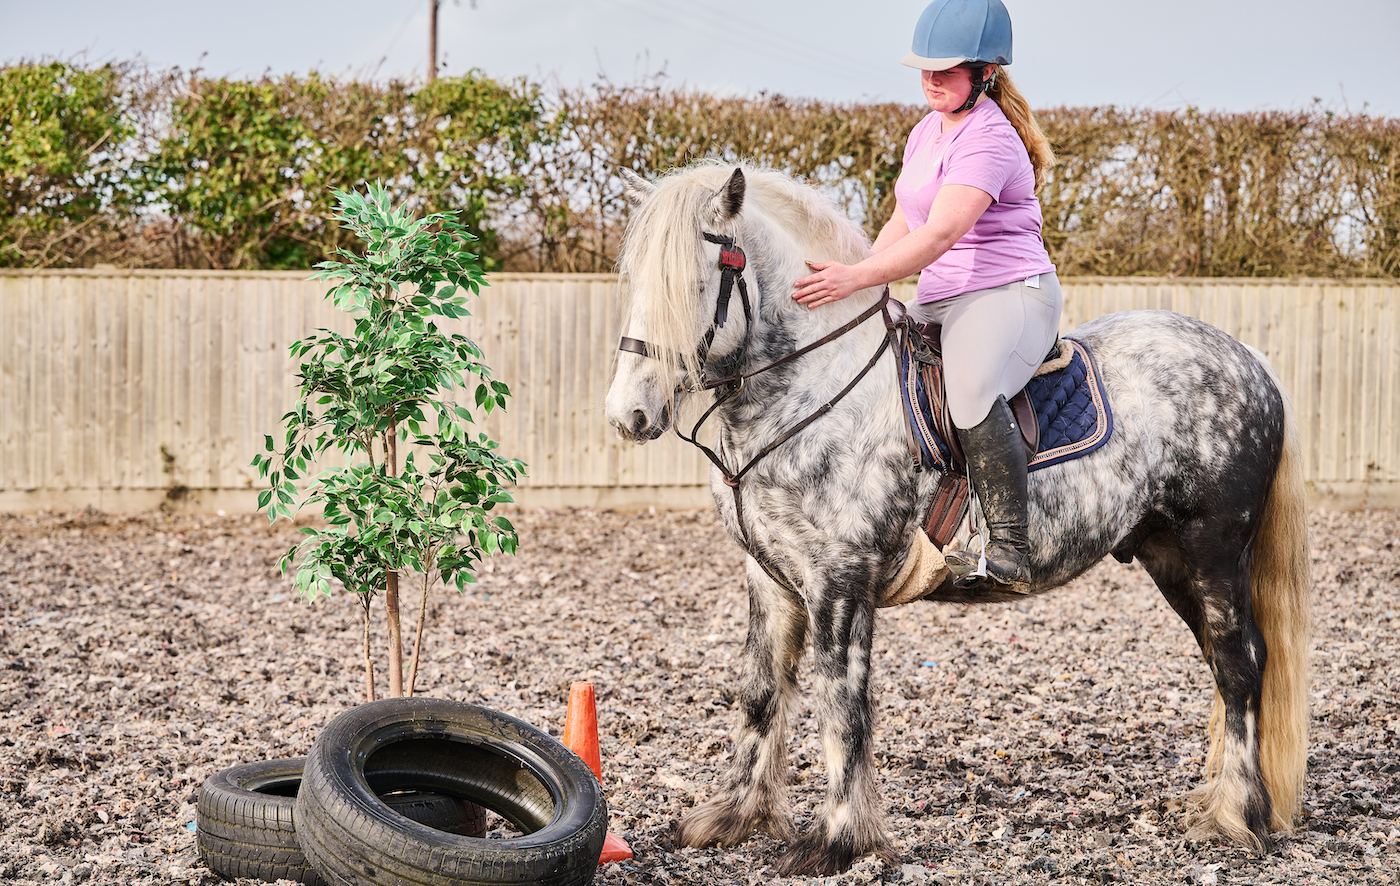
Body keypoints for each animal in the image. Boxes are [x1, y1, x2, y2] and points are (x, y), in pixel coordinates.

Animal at [604, 162, 1312, 877]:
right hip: (1169, 558)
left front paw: (839, 840)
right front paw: (734, 817)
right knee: (1222, 667)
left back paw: (1236, 818)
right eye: (634, 279)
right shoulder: (771, 581)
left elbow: (843, 704)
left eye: (695, 283)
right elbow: (761, 691)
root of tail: (1247, 358)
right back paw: (1215, 799)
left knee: (1240, 665)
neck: (810, 389)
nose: (628, 414)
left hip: (1213, 551)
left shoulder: (840, 583)